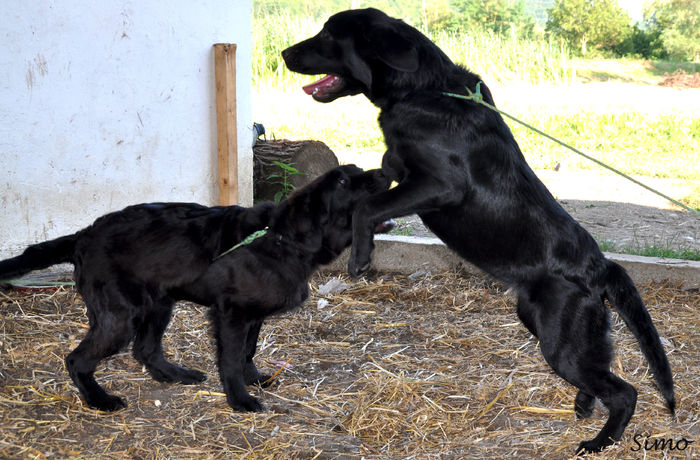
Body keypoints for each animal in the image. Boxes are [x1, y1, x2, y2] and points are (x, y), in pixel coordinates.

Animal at [0, 165, 394, 414]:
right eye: (342, 181)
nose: (386, 172)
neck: (282, 237)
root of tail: (84, 235)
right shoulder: (231, 314)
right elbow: (231, 359)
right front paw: (240, 400)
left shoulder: (251, 317)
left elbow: (248, 352)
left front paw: (255, 380)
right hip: (121, 316)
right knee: (78, 359)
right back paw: (101, 401)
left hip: (158, 305)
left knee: (145, 350)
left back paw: (176, 375)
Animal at [282, 8, 676, 456]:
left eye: (329, 34)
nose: (283, 54)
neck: (422, 89)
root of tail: (601, 266)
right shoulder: (393, 169)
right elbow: (367, 188)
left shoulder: (439, 184)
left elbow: (366, 207)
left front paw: (360, 257)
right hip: (554, 325)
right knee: (604, 370)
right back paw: (583, 406)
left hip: (560, 342)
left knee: (625, 393)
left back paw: (598, 442)